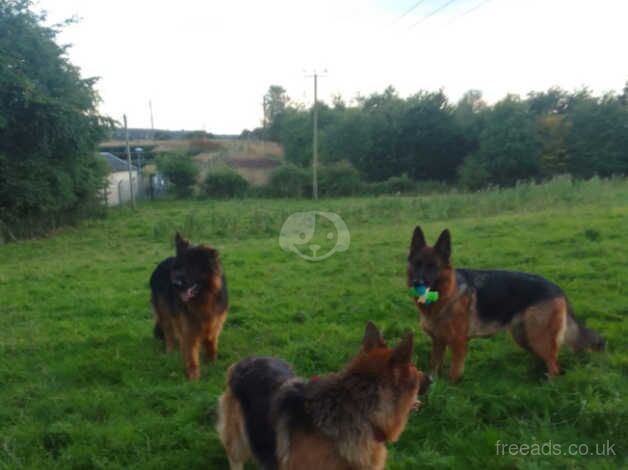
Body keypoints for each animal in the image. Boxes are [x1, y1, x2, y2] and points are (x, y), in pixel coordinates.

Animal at [148, 233, 229, 380]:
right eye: (178, 267)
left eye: (191, 268)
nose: (175, 284)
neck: (203, 298)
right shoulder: (188, 327)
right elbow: (190, 353)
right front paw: (193, 376)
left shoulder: (214, 324)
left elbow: (211, 345)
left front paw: (211, 363)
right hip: (165, 314)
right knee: (169, 334)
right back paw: (170, 352)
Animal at [217, 324, 432, 470]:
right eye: (415, 369)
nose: (431, 378)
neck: (361, 413)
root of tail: (243, 361)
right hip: (238, 440)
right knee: (234, 456)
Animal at [404, 226, 604, 384]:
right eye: (417, 264)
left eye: (432, 266)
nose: (416, 283)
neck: (447, 293)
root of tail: (558, 289)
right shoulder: (438, 342)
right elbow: (434, 367)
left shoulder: (459, 344)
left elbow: (454, 374)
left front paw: (451, 391)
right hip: (525, 337)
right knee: (546, 361)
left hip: (539, 338)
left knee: (555, 368)